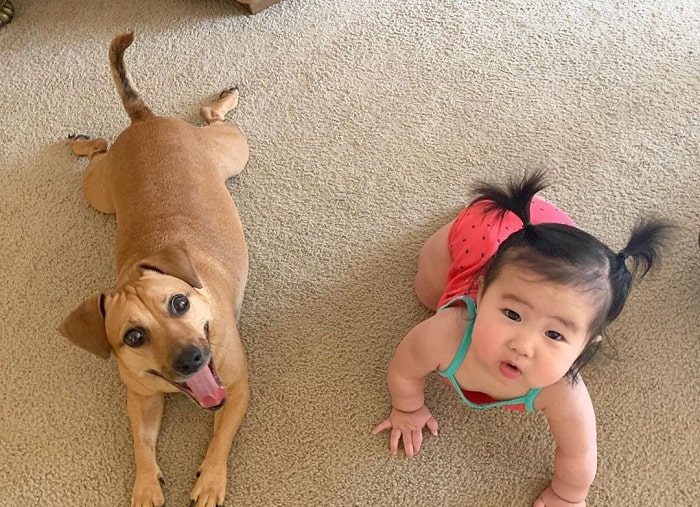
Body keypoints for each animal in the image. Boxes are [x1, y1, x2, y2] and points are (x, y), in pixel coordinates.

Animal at [60, 32, 252, 507]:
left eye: (179, 303)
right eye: (133, 336)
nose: (191, 358)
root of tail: (145, 121)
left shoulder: (237, 388)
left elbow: (220, 438)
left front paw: (211, 480)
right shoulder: (141, 398)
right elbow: (141, 445)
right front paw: (146, 485)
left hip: (232, 151)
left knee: (210, 118)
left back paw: (223, 99)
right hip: (99, 193)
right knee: (101, 149)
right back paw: (82, 141)